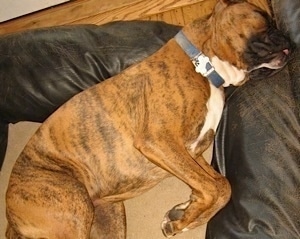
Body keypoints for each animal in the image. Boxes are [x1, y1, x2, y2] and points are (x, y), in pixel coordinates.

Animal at [4, 0, 290, 239]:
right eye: (263, 17)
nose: (287, 37)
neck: (204, 64)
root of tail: (9, 216)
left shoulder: (191, 153)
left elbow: (219, 185)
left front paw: (184, 214)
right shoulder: (160, 142)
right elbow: (214, 187)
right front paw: (185, 217)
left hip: (109, 216)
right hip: (73, 205)